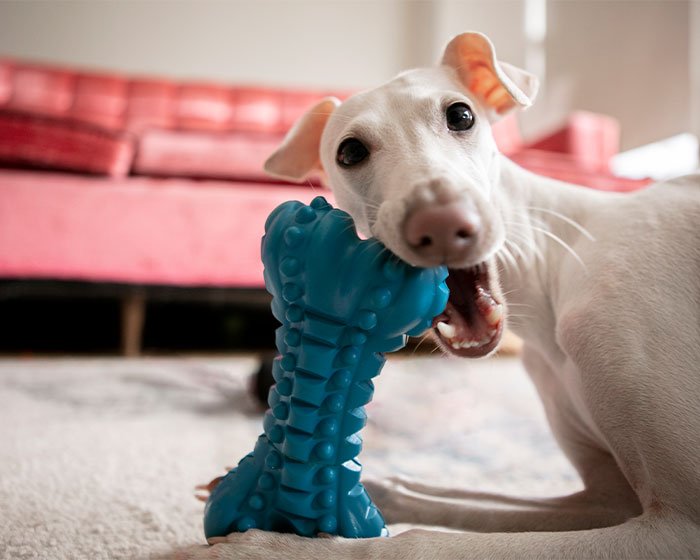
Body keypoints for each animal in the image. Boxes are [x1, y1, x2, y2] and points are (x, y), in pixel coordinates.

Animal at [187, 31, 700, 560]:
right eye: (349, 151)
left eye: (461, 115)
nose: (439, 223)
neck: (559, 266)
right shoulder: (606, 498)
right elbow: (469, 503)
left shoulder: (675, 525)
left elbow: (418, 543)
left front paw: (270, 546)